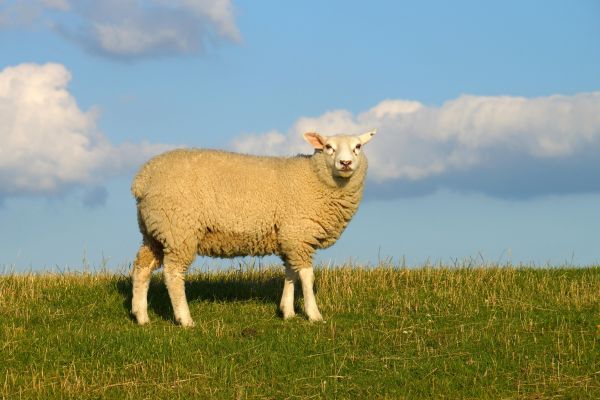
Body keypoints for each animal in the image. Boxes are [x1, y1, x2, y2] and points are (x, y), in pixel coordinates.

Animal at [130, 130, 376, 326]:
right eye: (328, 147)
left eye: (358, 147)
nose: (346, 163)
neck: (313, 178)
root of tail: (143, 179)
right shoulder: (298, 233)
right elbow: (306, 276)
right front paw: (314, 315)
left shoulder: (288, 237)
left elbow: (290, 273)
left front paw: (287, 312)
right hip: (179, 229)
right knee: (173, 274)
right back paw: (185, 319)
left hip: (154, 232)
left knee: (142, 268)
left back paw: (141, 316)